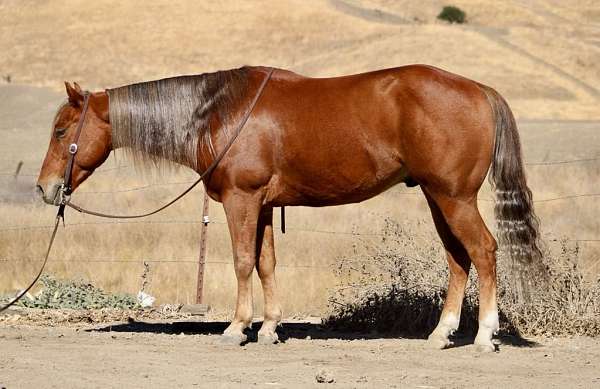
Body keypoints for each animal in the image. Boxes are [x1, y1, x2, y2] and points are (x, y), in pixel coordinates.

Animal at [37, 65, 544, 350]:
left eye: (61, 131)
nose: (45, 189)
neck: (218, 111)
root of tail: (479, 90)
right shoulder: (262, 205)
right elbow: (266, 263)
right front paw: (268, 329)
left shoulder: (241, 200)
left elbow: (243, 262)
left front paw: (237, 328)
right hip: (438, 199)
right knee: (458, 260)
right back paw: (441, 335)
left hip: (454, 198)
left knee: (484, 252)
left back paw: (484, 336)